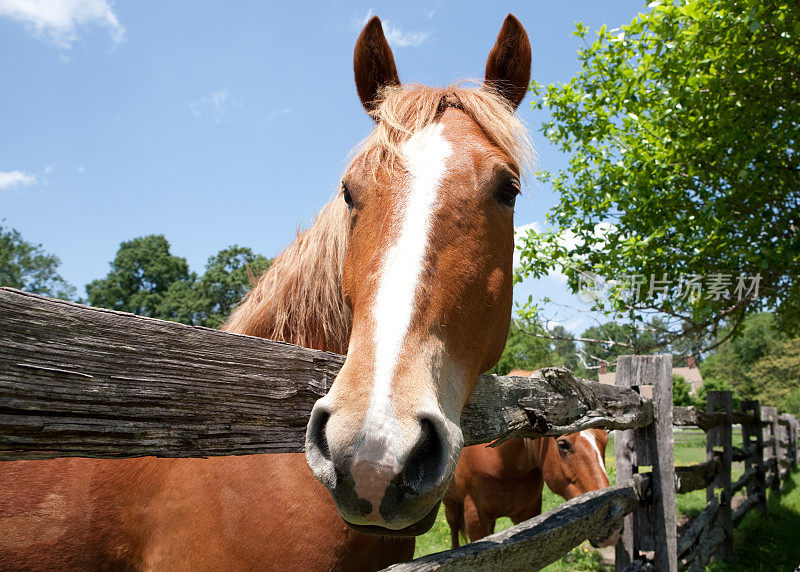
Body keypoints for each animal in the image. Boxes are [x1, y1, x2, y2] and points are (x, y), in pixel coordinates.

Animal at [444, 370, 620, 548]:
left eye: (605, 440)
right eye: (563, 444)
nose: (612, 528)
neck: (505, 465)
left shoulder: (528, 513)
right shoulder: (476, 520)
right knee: (453, 528)